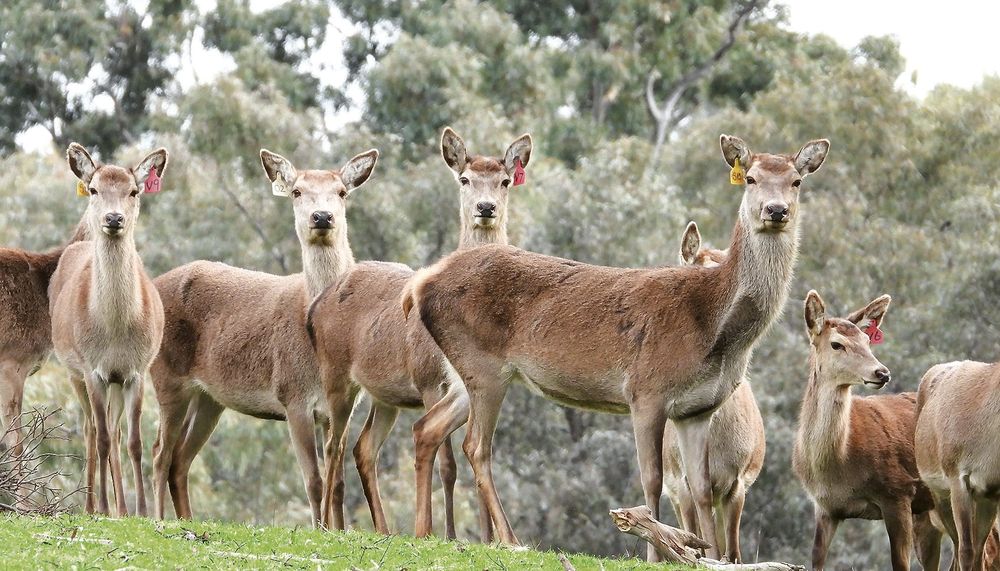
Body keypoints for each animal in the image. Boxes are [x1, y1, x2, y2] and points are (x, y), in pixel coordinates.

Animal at [49, 143, 169, 516]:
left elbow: (134, 441)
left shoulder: (136, 371)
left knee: (114, 432)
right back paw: (92, 507)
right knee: (91, 429)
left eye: (133, 191)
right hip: (71, 371)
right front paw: (102, 504)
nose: (113, 219)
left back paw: (122, 509)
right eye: (93, 189)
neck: (115, 332)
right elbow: (100, 437)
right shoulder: (93, 369)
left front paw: (142, 510)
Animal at [149, 148, 378, 527]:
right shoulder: (293, 395)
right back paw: (156, 519)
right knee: (159, 454)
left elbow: (339, 481)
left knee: (180, 460)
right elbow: (314, 481)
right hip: (166, 377)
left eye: (342, 192)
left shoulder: (343, 403)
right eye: (297, 191)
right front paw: (320, 530)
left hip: (209, 397)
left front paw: (339, 531)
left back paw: (187, 520)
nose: (322, 216)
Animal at [307, 127, 531, 537]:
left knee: (364, 447)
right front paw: (447, 535)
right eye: (464, 179)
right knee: (334, 445)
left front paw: (487, 538)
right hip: (336, 376)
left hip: (383, 397)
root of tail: (315, 306)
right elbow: (449, 463)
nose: (486, 208)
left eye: (505, 181)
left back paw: (383, 529)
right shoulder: (429, 378)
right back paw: (329, 526)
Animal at [792, 290, 943, 571]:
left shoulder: (898, 490)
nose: (882, 373)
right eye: (836, 344)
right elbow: (816, 559)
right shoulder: (825, 507)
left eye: (866, 340)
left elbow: (900, 563)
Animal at [916, 359, 1000, 571]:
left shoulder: (993, 491)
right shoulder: (957, 477)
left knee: (977, 550)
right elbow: (966, 551)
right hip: (938, 494)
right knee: (955, 548)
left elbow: (977, 550)